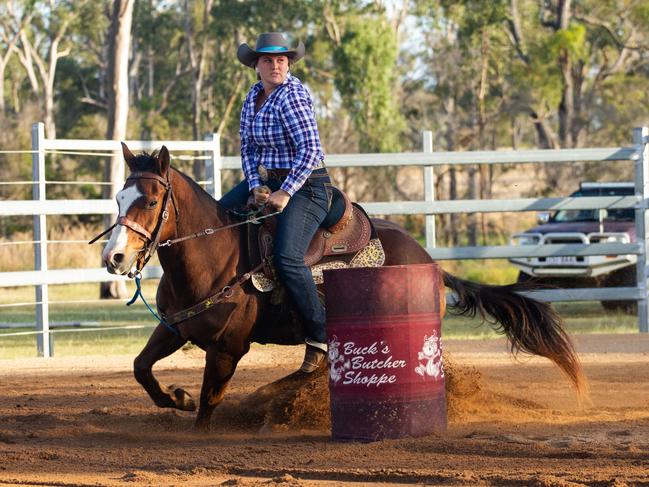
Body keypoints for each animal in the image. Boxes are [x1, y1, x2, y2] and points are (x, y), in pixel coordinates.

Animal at [97, 144, 588, 430]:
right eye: (119, 197)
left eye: (152, 200)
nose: (114, 258)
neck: (214, 256)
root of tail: (430, 261)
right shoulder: (174, 327)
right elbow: (141, 368)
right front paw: (175, 397)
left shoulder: (226, 349)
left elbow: (207, 407)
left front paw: (192, 410)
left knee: (314, 368)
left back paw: (271, 398)